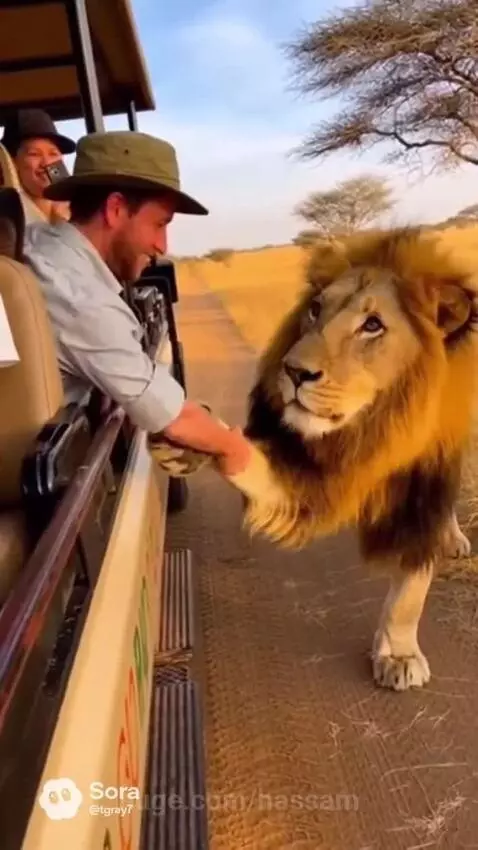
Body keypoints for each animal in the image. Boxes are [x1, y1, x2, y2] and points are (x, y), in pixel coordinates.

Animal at [224, 223, 478, 692]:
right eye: (315, 310)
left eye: (372, 325)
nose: (293, 372)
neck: (381, 422)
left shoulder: (425, 478)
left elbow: (412, 583)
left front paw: (398, 653)